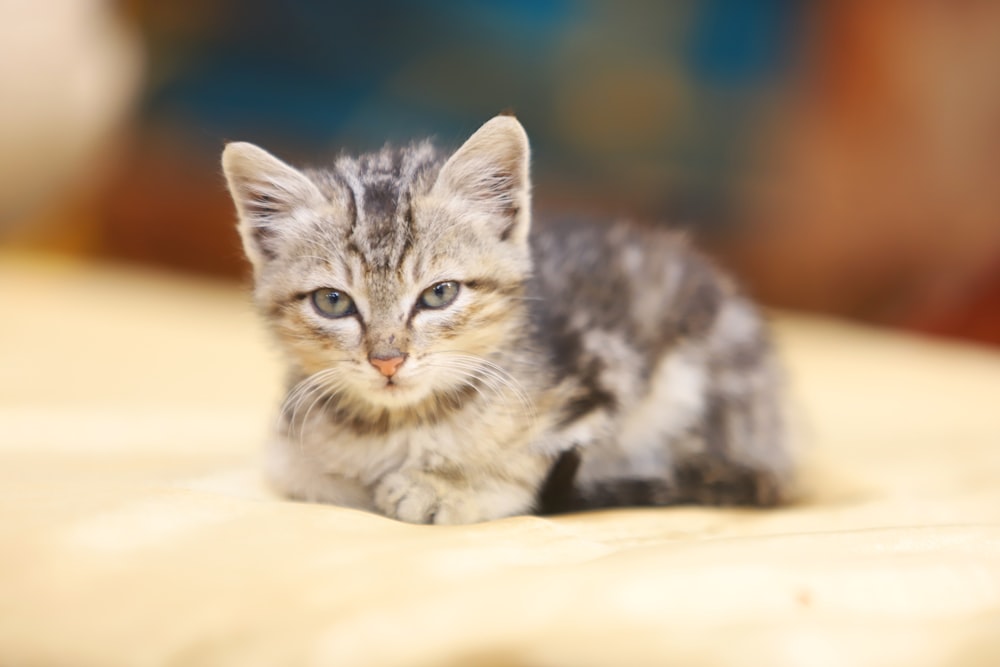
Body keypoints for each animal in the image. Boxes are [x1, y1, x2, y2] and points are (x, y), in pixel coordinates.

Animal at [223, 115, 792, 524]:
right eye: (333, 302)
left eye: (439, 294)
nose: (387, 360)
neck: (405, 424)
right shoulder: (289, 441)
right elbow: (301, 472)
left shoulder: (606, 376)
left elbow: (536, 462)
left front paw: (454, 487)